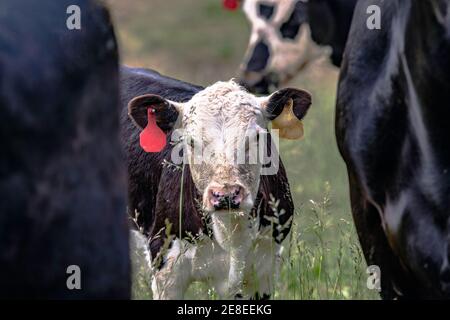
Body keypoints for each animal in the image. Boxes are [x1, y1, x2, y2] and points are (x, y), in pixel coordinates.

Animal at [121, 66, 312, 298]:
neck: (231, 235)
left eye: (258, 137)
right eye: (190, 141)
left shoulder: (264, 270)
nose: (226, 195)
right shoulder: (165, 263)